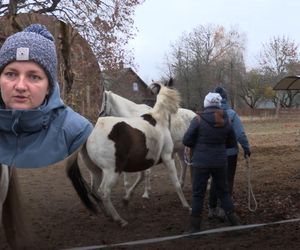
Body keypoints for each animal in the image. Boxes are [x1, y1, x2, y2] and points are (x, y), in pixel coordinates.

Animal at [67, 82, 190, 227]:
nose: (99, 114)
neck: (158, 119)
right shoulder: (167, 157)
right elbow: (174, 183)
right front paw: (187, 206)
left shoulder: (144, 161)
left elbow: (141, 177)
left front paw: (129, 197)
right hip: (111, 171)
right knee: (103, 192)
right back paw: (119, 219)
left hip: (96, 171)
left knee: (94, 191)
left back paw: (108, 214)